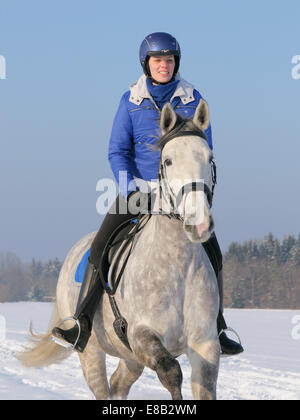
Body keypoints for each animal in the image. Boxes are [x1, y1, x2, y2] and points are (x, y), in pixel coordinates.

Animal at [18, 100, 220, 398]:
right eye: (168, 160)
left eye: (209, 158)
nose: (199, 223)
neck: (178, 266)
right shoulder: (141, 335)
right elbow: (172, 372)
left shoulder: (205, 345)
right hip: (91, 352)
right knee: (103, 387)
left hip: (130, 358)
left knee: (118, 383)